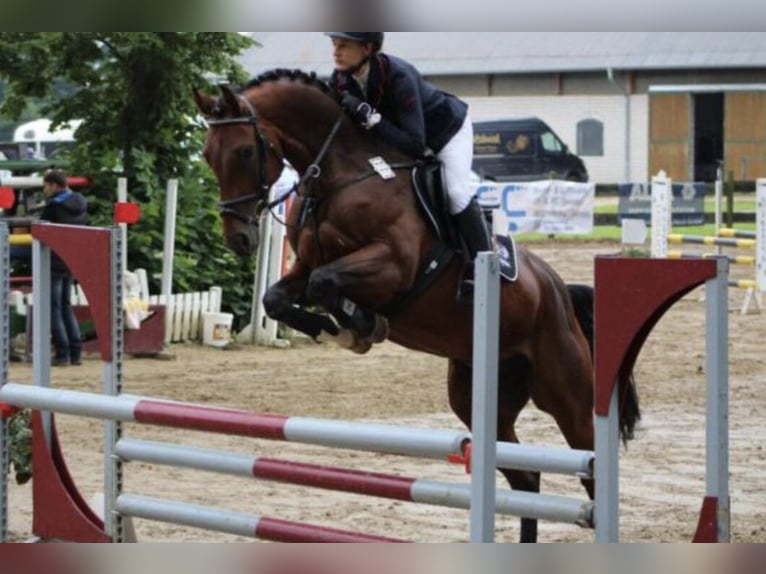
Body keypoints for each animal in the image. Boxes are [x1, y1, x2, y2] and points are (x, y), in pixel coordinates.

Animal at [193, 69, 640, 543]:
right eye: (207, 154)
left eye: (244, 151)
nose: (239, 238)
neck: (342, 174)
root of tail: (558, 291)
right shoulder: (306, 264)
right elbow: (280, 297)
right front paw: (342, 327)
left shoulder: (393, 265)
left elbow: (325, 282)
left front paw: (361, 325)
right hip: (479, 397)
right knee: (526, 478)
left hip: (566, 393)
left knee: (590, 469)